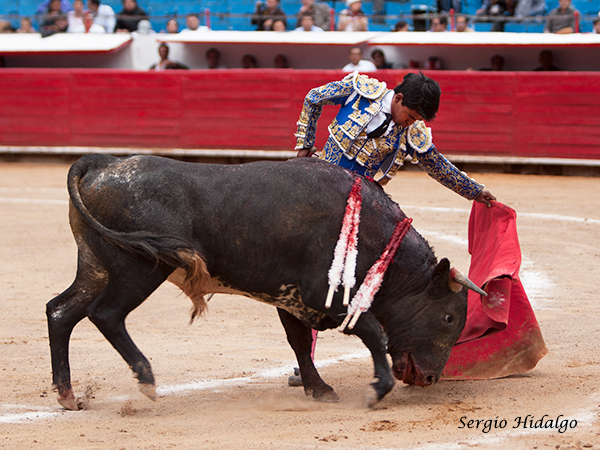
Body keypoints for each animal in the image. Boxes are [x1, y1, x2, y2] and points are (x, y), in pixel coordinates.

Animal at [48, 155, 482, 412]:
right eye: (448, 319)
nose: (430, 379)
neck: (375, 236)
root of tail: (103, 164)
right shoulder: (323, 295)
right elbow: (374, 332)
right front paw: (377, 389)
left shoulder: (291, 299)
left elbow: (299, 343)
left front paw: (317, 388)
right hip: (139, 268)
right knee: (106, 314)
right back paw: (147, 380)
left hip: (96, 267)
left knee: (61, 311)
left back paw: (68, 395)